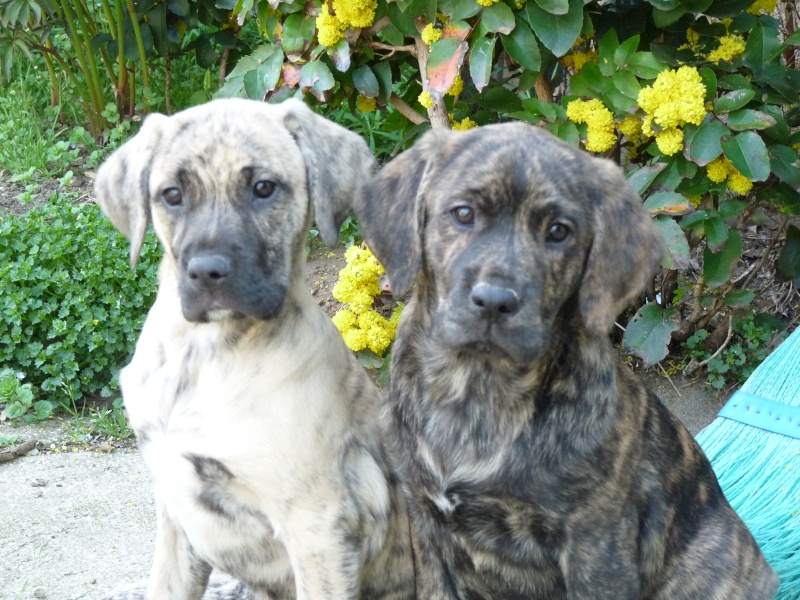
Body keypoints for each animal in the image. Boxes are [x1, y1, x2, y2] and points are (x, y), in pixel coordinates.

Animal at [354, 123, 780, 600]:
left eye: (558, 231)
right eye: (463, 213)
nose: (494, 302)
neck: (477, 390)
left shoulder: (594, 547)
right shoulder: (425, 524)